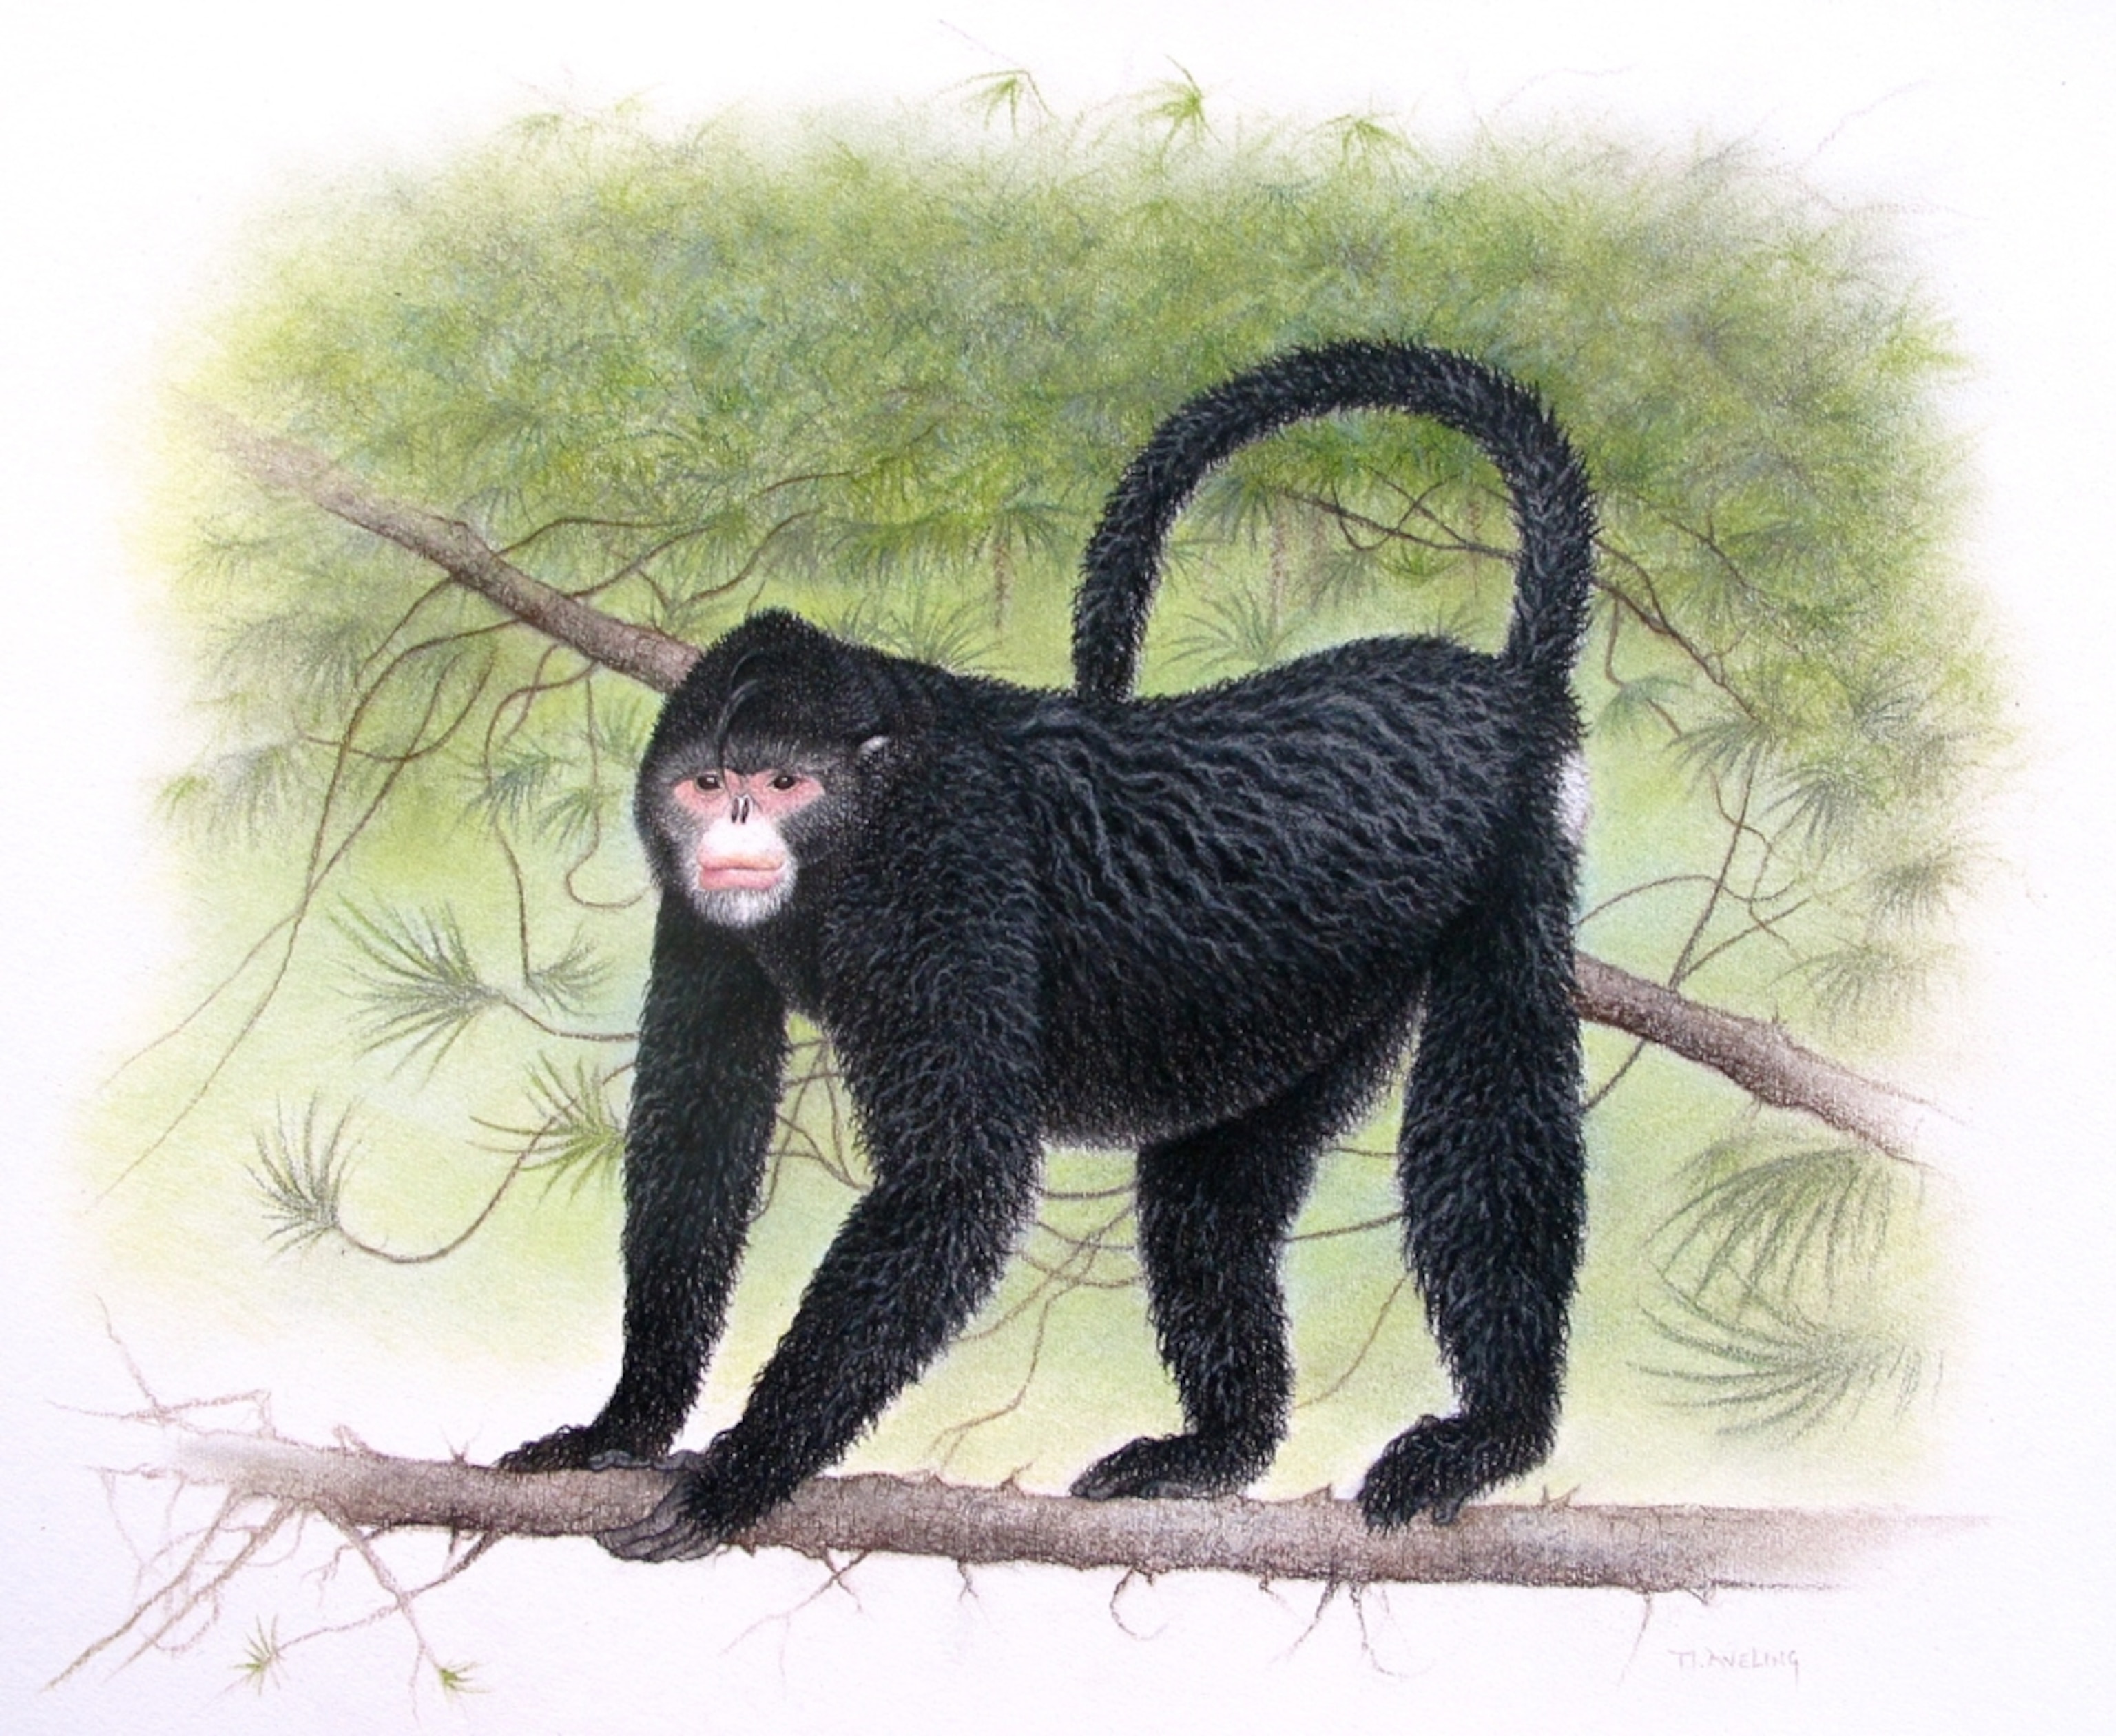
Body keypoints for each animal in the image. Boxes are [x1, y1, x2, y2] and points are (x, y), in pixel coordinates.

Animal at [500, 340, 1594, 1563]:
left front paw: (740, 1475)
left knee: (1493, 1088)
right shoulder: (697, 905)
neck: (875, 807)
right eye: (706, 784)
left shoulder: (945, 860)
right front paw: (625, 1426)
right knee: (1212, 1184)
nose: (735, 832)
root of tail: (1500, 688)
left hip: (1517, 847)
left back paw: (1493, 1433)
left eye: (782, 783)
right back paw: (1221, 1445)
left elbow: (955, 1183)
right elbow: (698, 1135)